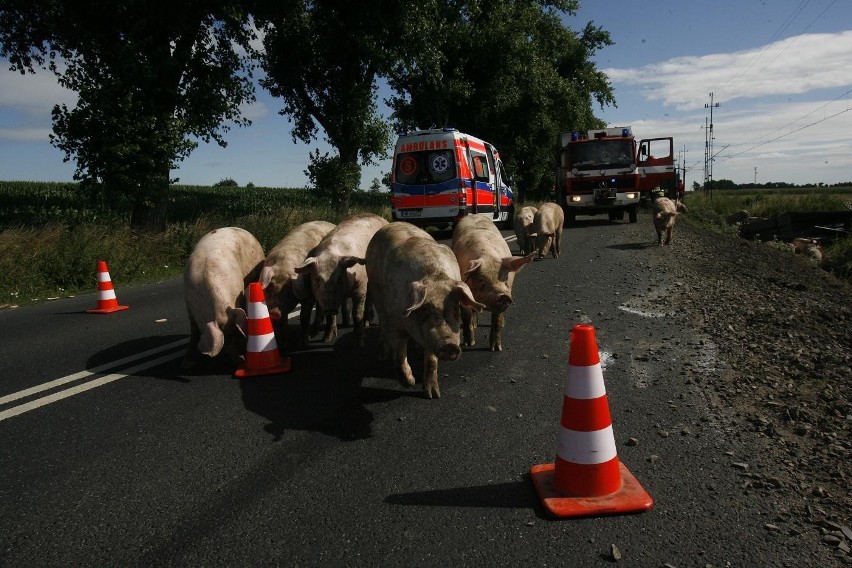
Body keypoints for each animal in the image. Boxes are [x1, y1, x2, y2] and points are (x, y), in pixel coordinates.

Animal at [184, 226, 264, 368]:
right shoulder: (189, 307)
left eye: (237, 334)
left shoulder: (239, 297)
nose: (242, 360)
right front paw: (187, 364)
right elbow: (194, 332)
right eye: (225, 339)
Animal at [292, 213, 386, 346]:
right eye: (317, 278)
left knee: (369, 298)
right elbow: (330, 317)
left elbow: (357, 313)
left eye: (339, 276)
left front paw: (359, 343)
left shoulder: (361, 286)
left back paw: (366, 323)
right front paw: (326, 339)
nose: (330, 308)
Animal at [362, 220, 482, 398]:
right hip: (376, 292)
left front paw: (433, 395)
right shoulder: (395, 322)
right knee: (382, 324)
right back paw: (382, 355)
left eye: (455, 310)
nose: (450, 345)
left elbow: (431, 360)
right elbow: (399, 356)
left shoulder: (430, 339)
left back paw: (415, 347)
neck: (434, 276)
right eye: (425, 309)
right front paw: (410, 383)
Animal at [452, 215, 532, 350]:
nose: (503, 296)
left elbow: (497, 321)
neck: (488, 256)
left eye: (505, 277)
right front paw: (469, 344)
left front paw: (496, 349)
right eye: (481, 279)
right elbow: (466, 317)